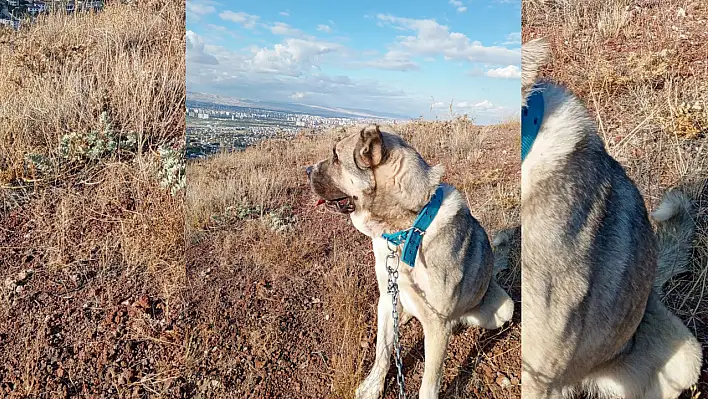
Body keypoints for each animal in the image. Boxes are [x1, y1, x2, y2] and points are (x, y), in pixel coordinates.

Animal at [306, 126, 512, 399]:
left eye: (336, 157)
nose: (306, 170)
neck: (407, 228)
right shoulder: (386, 296)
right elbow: (382, 351)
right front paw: (372, 386)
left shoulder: (437, 324)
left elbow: (429, 384)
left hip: (504, 309)